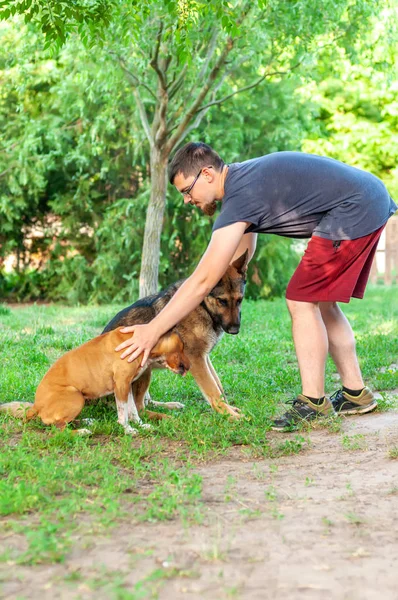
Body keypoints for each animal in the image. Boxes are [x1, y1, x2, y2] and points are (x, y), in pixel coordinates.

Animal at [0, 330, 190, 434]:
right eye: (182, 348)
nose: (189, 367)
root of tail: (36, 406)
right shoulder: (121, 385)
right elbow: (123, 414)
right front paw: (128, 430)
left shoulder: (126, 386)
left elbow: (133, 411)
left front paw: (141, 425)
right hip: (76, 396)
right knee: (58, 427)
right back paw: (82, 432)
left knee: (63, 422)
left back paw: (87, 421)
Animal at [102, 251, 249, 420]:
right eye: (222, 301)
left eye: (240, 300)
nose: (234, 330)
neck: (202, 306)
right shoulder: (196, 359)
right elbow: (213, 390)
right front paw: (229, 415)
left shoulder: (205, 357)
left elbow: (219, 385)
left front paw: (230, 409)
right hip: (143, 368)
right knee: (139, 408)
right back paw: (166, 418)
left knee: (146, 402)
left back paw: (169, 406)